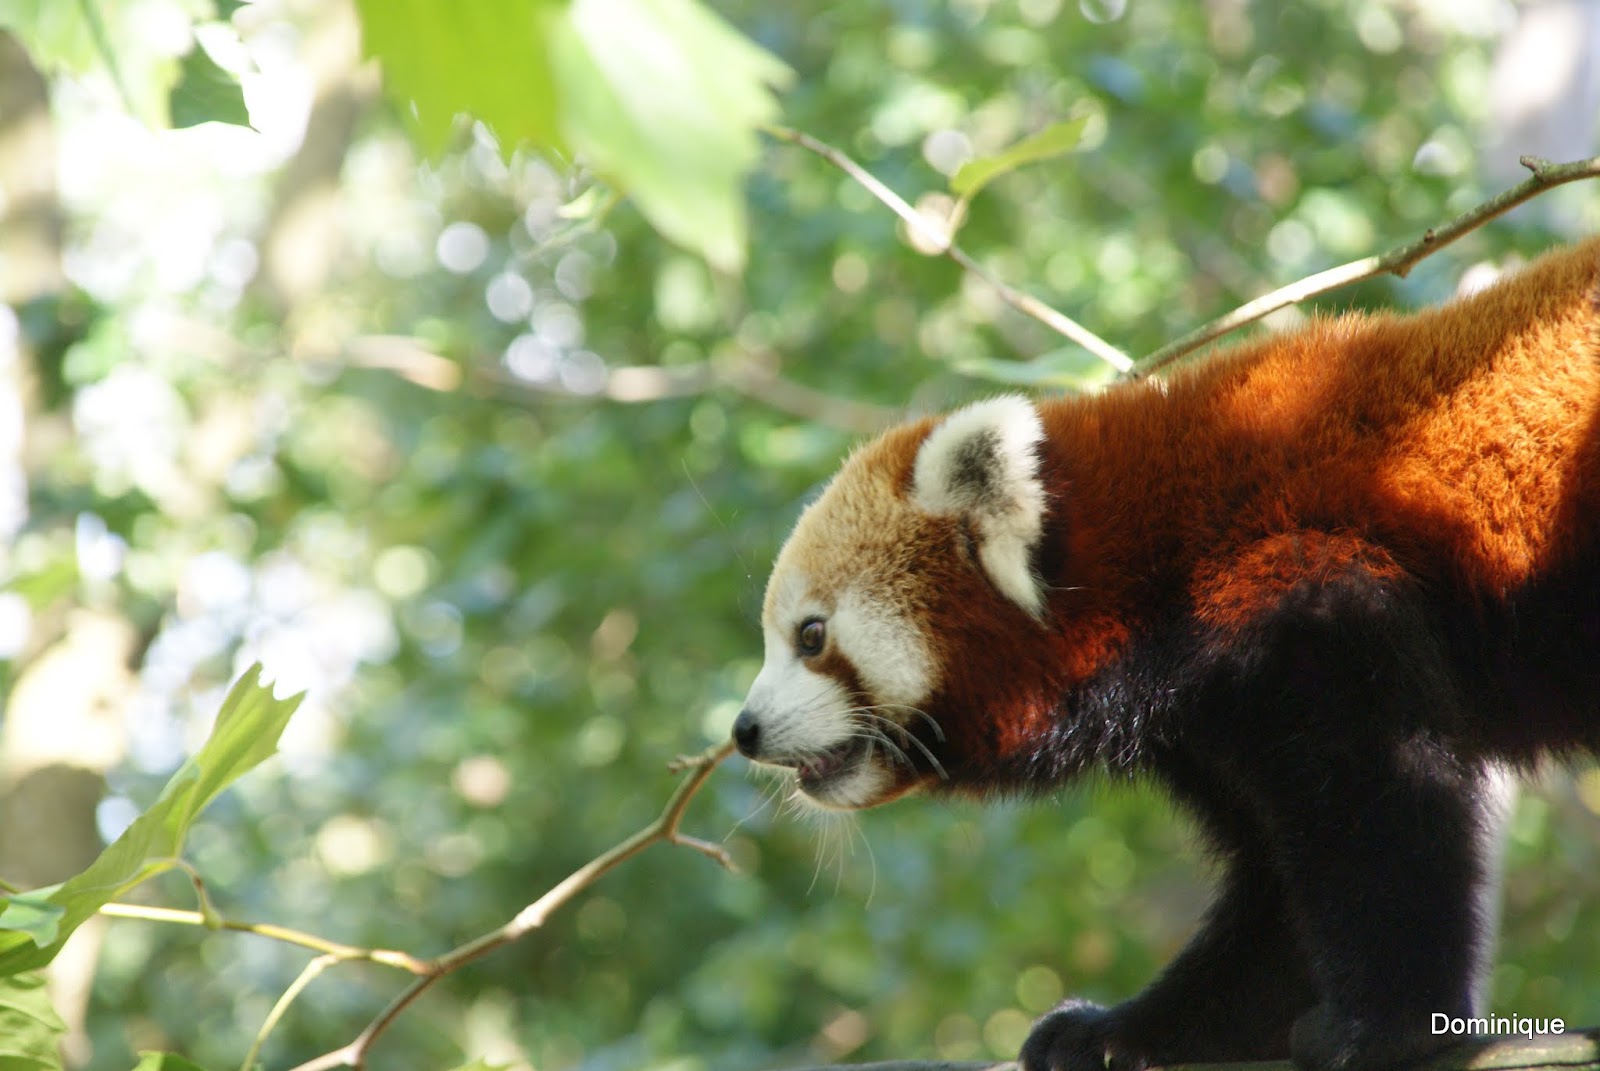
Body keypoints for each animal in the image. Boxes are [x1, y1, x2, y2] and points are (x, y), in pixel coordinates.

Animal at [730, 238, 1600, 1071]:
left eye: (810, 636)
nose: (743, 730)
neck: (1158, 559)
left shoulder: (1306, 600)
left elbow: (1380, 811)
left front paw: (1387, 1027)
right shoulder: (1215, 710)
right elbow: (1275, 898)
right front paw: (1127, 1029)